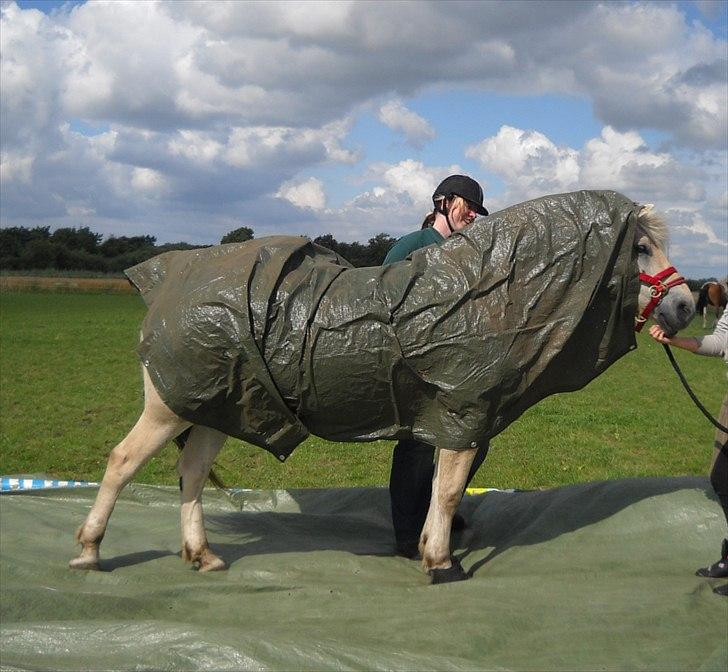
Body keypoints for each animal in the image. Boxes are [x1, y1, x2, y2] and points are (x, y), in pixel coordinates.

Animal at [71, 190, 696, 584]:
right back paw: (89, 551)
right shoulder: (462, 414)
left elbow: (439, 490)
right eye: (641, 247)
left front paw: (430, 549)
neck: (486, 292)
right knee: (123, 462)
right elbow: (448, 491)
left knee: (193, 472)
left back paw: (202, 557)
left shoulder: (454, 420)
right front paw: (440, 562)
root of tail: (164, 286)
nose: (689, 305)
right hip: (170, 408)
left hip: (217, 408)